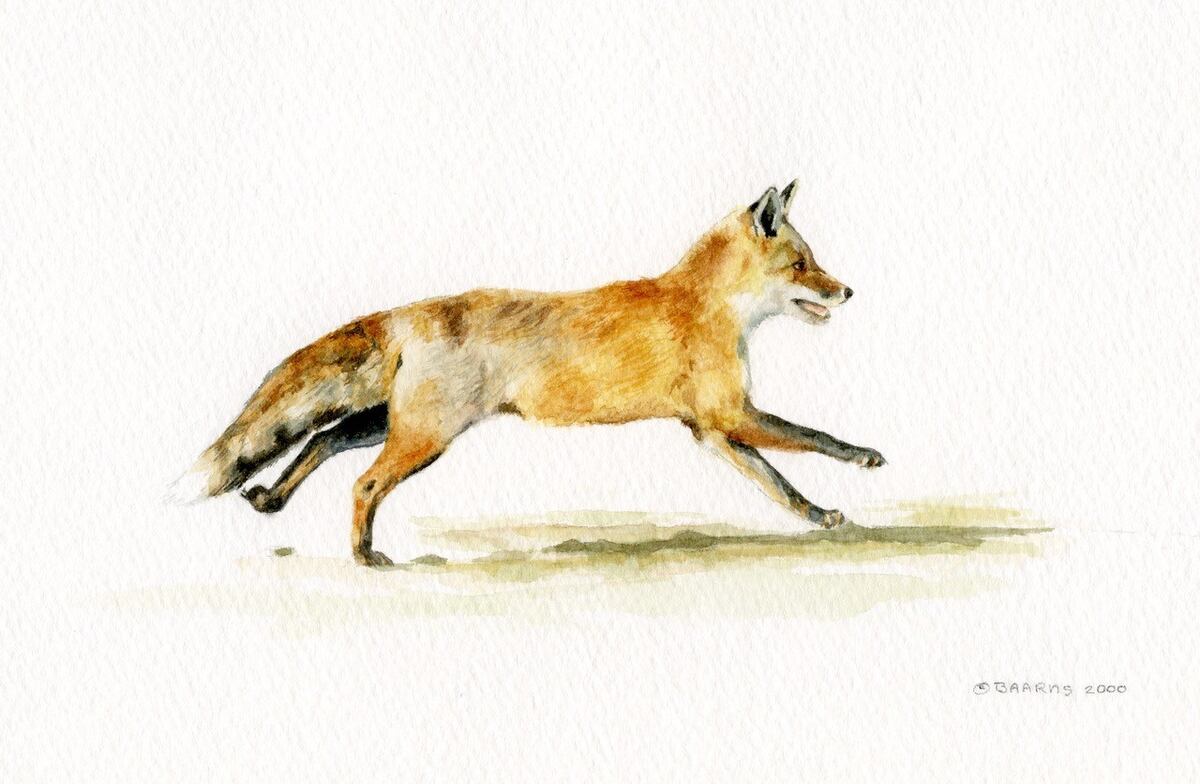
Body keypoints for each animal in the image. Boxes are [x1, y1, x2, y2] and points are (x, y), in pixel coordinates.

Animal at [170, 180, 886, 566]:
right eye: (803, 265)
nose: (849, 291)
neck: (704, 304)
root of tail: (410, 312)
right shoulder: (731, 414)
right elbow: (815, 438)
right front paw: (865, 457)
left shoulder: (712, 428)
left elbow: (778, 483)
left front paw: (817, 515)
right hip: (425, 438)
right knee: (363, 482)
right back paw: (363, 556)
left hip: (391, 424)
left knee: (320, 439)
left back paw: (272, 498)